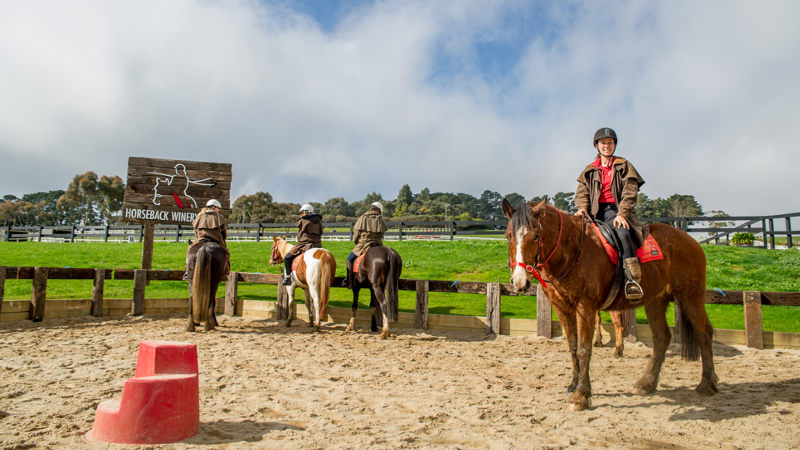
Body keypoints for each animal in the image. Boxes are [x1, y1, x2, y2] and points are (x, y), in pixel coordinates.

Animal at [500, 199, 720, 410]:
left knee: (703, 332)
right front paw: (574, 385)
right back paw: (647, 383)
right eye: (508, 235)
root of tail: (691, 242)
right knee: (662, 337)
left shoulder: (585, 306)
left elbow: (584, 349)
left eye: (536, 236)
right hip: (656, 301)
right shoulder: (562, 307)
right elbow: (573, 347)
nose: (519, 281)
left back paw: (706, 383)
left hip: (691, 296)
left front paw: (581, 395)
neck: (572, 250)